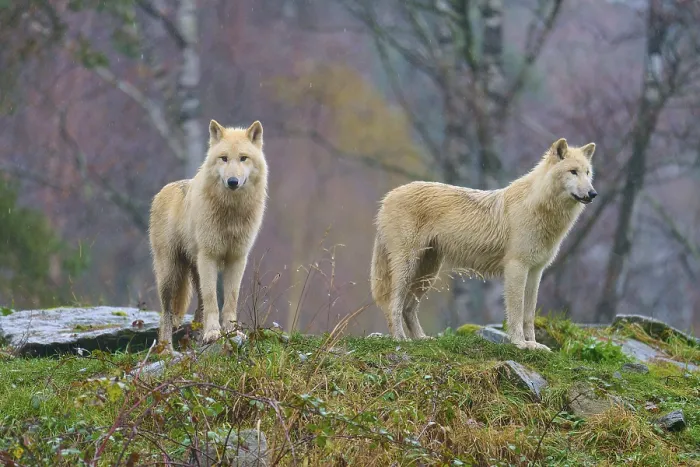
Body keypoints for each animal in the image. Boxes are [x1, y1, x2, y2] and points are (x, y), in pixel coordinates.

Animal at [148, 120, 268, 352]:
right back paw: (166, 350)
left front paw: (231, 332)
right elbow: (213, 300)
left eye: (243, 158)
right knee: (166, 314)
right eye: (224, 158)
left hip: (194, 270)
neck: (231, 213)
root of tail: (163, 190)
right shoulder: (209, 256)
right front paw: (213, 333)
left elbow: (230, 299)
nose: (232, 181)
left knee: (198, 308)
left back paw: (195, 337)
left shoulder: (237, 259)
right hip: (170, 273)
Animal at [370, 138, 597, 351]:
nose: (593, 194)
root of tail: (387, 197)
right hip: (408, 268)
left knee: (408, 308)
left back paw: (421, 339)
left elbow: (529, 314)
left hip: (428, 272)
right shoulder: (516, 267)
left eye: (587, 173)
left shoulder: (535, 271)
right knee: (393, 304)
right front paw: (519, 343)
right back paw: (400, 339)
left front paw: (534, 344)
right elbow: (516, 311)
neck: (539, 207)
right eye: (573, 172)